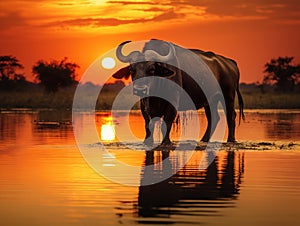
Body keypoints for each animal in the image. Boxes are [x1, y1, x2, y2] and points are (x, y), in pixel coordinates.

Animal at [112, 39, 244, 145]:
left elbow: (167, 122)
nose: (140, 89)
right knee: (214, 117)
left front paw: (166, 142)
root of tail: (230, 62)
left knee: (230, 116)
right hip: (210, 100)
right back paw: (204, 140)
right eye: (132, 69)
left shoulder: (173, 101)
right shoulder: (144, 104)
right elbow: (148, 124)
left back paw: (230, 140)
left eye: (152, 69)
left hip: (228, 96)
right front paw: (147, 142)